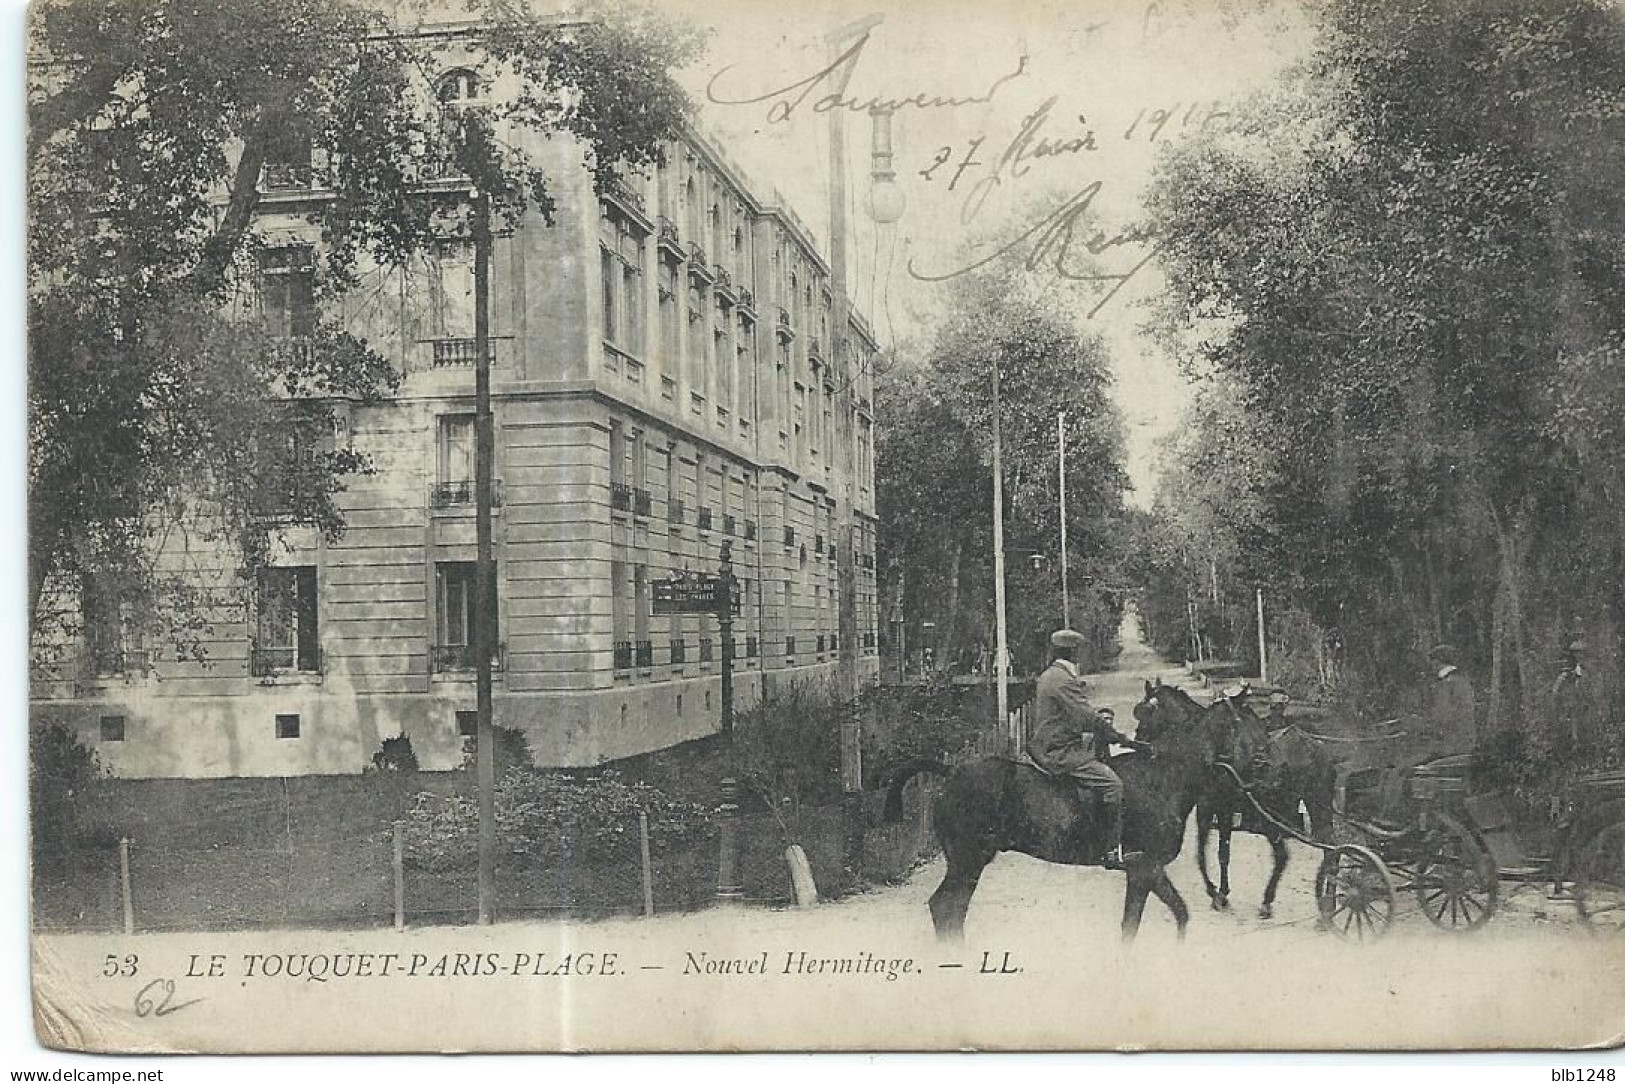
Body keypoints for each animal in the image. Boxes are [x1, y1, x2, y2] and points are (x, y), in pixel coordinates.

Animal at [884, 698, 1235, 942]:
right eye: (1242, 722)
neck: (1164, 777)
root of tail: (952, 772)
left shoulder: (1149, 870)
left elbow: (1177, 914)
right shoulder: (1143, 867)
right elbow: (1134, 924)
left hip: (970, 862)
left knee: (952, 910)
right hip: (967, 860)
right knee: (944, 907)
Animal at [1131, 682, 1332, 923]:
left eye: (1147, 711)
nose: (1138, 741)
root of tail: (1315, 748)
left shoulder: (1210, 809)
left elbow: (1206, 853)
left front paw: (1215, 893)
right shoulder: (1218, 810)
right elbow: (1217, 853)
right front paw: (1222, 891)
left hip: (1286, 813)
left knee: (1294, 855)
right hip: (1303, 808)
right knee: (1323, 850)